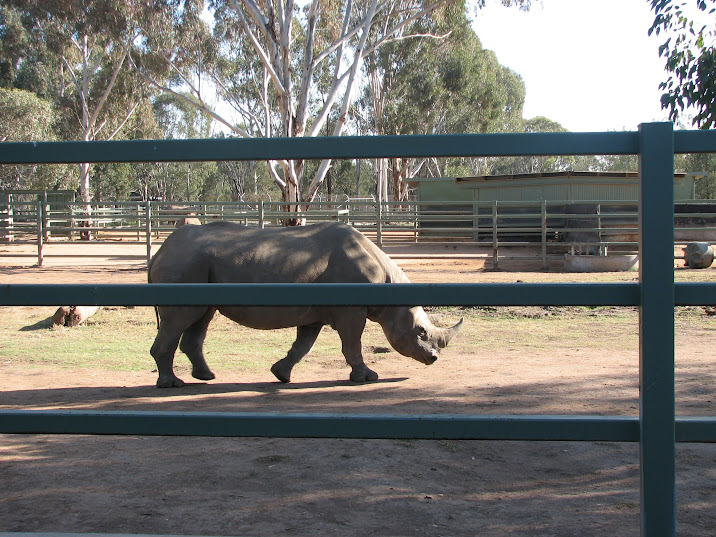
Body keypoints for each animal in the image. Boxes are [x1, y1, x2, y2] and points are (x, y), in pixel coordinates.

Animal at [148, 221, 462, 387]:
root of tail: (161, 251)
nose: (434, 359)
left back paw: (207, 377)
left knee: (200, 318)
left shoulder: (315, 313)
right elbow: (352, 344)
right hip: (185, 264)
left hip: (195, 266)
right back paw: (172, 384)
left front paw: (281, 375)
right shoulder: (351, 311)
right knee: (180, 319)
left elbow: (303, 346)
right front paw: (367, 378)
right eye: (421, 332)